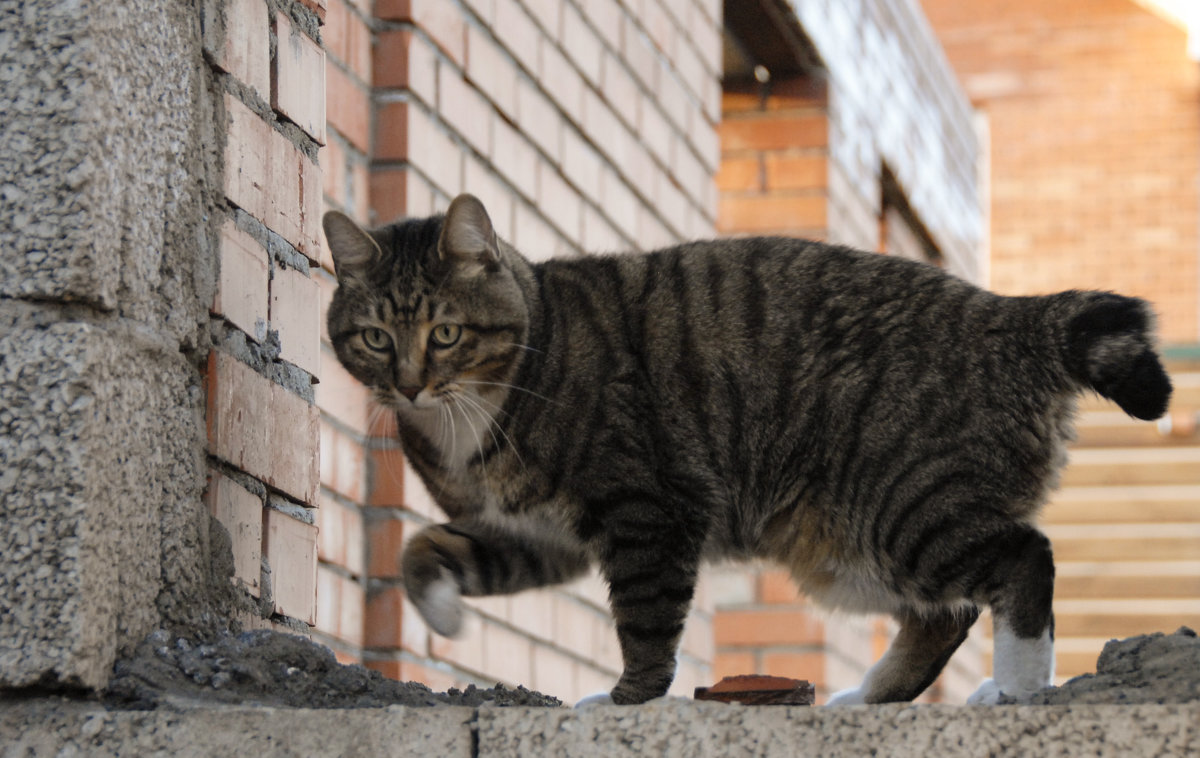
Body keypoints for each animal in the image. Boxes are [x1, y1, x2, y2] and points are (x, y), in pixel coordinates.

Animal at [321, 194, 1171, 705]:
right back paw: (867, 697)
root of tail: (1009, 316)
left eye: (445, 333)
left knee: (1023, 559)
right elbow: (425, 548)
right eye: (374, 338)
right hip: (848, 547)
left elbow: (646, 624)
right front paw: (441, 612)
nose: (409, 386)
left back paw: (1018, 687)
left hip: (905, 503)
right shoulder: (532, 535)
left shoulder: (646, 513)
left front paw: (627, 703)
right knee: (945, 613)